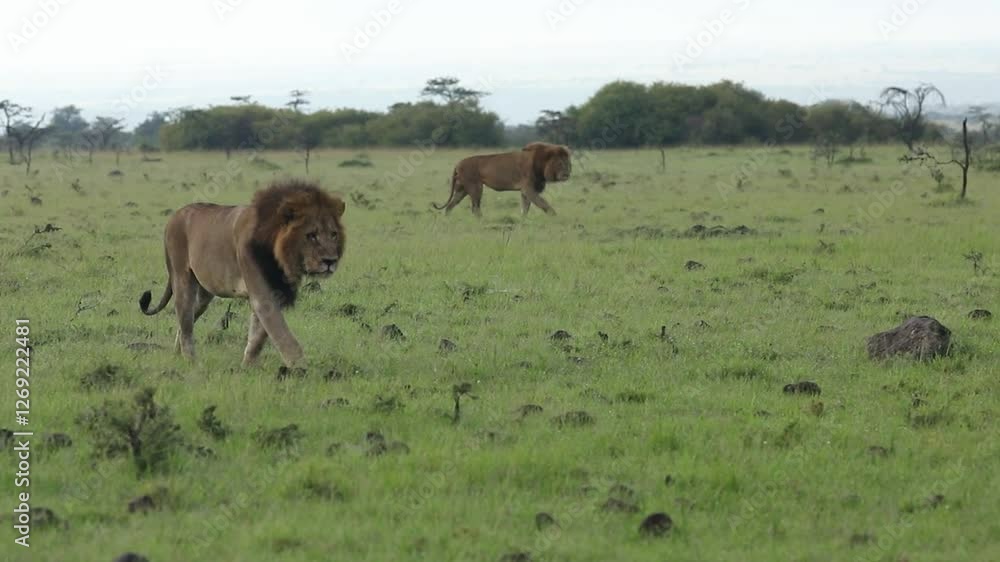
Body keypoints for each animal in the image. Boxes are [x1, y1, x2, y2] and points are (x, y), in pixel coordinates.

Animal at [138, 179, 346, 368]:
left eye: (333, 234)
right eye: (311, 235)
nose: (330, 261)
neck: (279, 255)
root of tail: (175, 215)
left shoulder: (275, 291)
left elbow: (259, 335)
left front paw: (247, 367)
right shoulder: (262, 295)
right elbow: (282, 334)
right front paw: (301, 370)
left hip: (205, 292)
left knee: (186, 320)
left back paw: (177, 354)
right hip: (182, 277)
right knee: (185, 320)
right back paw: (191, 361)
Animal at [433, 141, 571, 216]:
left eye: (568, 163)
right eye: (560, 163)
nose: (566, 174)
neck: (541, 164)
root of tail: (457, 164)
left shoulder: (525, 191)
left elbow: (525, 208)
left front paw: (523, 221)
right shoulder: (528, 188)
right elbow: (543, 203)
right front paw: (555, 216)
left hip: (462, 189)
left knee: (450, 205)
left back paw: (447, 219)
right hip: (475, 187)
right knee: (475, 208)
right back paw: (482, 221)